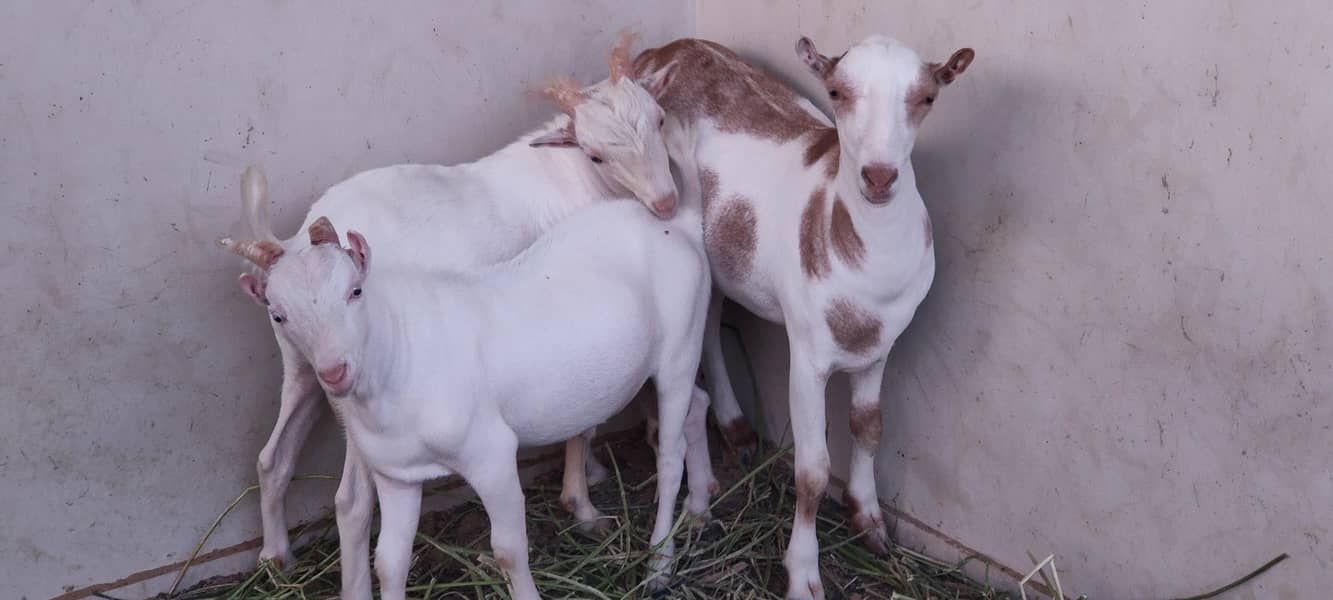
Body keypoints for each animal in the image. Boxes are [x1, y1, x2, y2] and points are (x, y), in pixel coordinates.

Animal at [222, 179, 714, 599]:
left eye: (355, 291)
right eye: (278, 314)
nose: (334, 371)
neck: (400, 353)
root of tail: (681, 224)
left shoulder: (491, 454)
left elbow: (509, 550)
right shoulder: (397, 475)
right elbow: (389, 562)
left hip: (682, 344)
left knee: (669, 455)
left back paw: (659, 566)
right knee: (697, 405)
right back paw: (699, 507)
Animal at [241, 34, 686, 571]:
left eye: (659, 119)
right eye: (596, 154)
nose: (665, 203)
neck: (570, 175)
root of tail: (290, 242)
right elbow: (582, 423)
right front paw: (582, 504)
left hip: (302, 365)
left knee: (272, 457)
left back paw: (275, 555)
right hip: (346, 393)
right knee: (350, 498)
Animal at [635, 36, 974, 599]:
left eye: (927, 97)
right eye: (836, 91)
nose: (879, 176)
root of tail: (661, 49)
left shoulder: (880, 346)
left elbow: (870, 428)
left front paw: (870, 522)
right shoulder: (808, 352)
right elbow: (813, 471)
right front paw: (802, 574)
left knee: (711, 318)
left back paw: (736, 428)